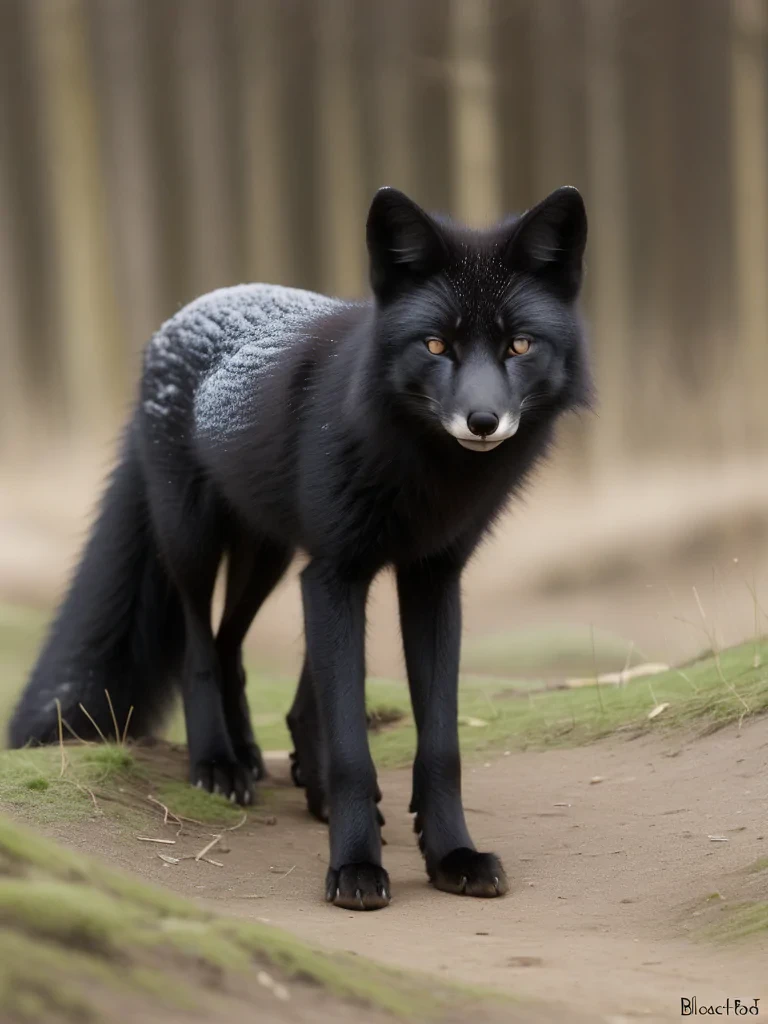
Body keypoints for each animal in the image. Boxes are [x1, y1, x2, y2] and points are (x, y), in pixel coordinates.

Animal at [9, 185, 590, 910]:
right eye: (435, 344)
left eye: (519, 344)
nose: (482, 421)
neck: (424, 475)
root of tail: (179, 317)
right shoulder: (337, 573)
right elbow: (352, 750)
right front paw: (355, 868)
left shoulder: (428, 577)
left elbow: (440, 745)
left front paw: (452, 856)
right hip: (197, 543)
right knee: (201, 650)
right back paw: (219, 763)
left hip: (274, 556)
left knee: (234, 648)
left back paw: (272, 765)